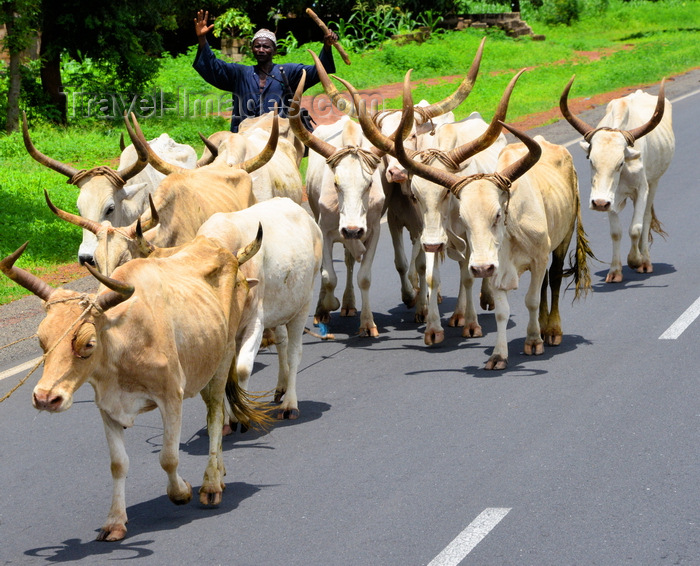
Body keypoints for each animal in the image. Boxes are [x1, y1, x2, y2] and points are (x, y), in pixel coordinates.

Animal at [0, 233, 270, 544]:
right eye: (41, 340)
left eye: (88, 344)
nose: (45, 398)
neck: (123, 340)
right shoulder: (108, 408)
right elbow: (118, 464)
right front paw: (115, 522)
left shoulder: (171, 398)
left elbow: (168, 458)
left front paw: (181, 492)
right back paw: (220, 473)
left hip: (222, 359)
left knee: (215, 416)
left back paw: (211, 484)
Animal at [197, 199, 322, 422]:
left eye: (234, 285)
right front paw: (226, 419)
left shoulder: (255, 323)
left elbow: (242, 369)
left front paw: (239, 415)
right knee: (282, 342)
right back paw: (281, 387)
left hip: (303, 305)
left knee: (293, 353)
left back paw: (290, 404)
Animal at [394, 96, 592, 368]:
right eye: (464, 219)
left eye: (497, 214)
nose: (481, 267)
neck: (509, 234)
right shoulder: (493, 265)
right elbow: (502, 311)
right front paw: (499, 354)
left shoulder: (538, 257)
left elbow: (531, 299)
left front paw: (533, 341)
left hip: (563, 236)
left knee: (553, 277)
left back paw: (551, 329)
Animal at [556, 75, 672, 284]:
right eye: (591, 161)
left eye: (620, 163)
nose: (599, 203)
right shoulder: (611, 196)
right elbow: (616, 232)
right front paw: (615, 270)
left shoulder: (642, 189)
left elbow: (636, 228)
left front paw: (635, 260)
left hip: (654, 182)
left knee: (646, 218)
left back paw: (645, 260)